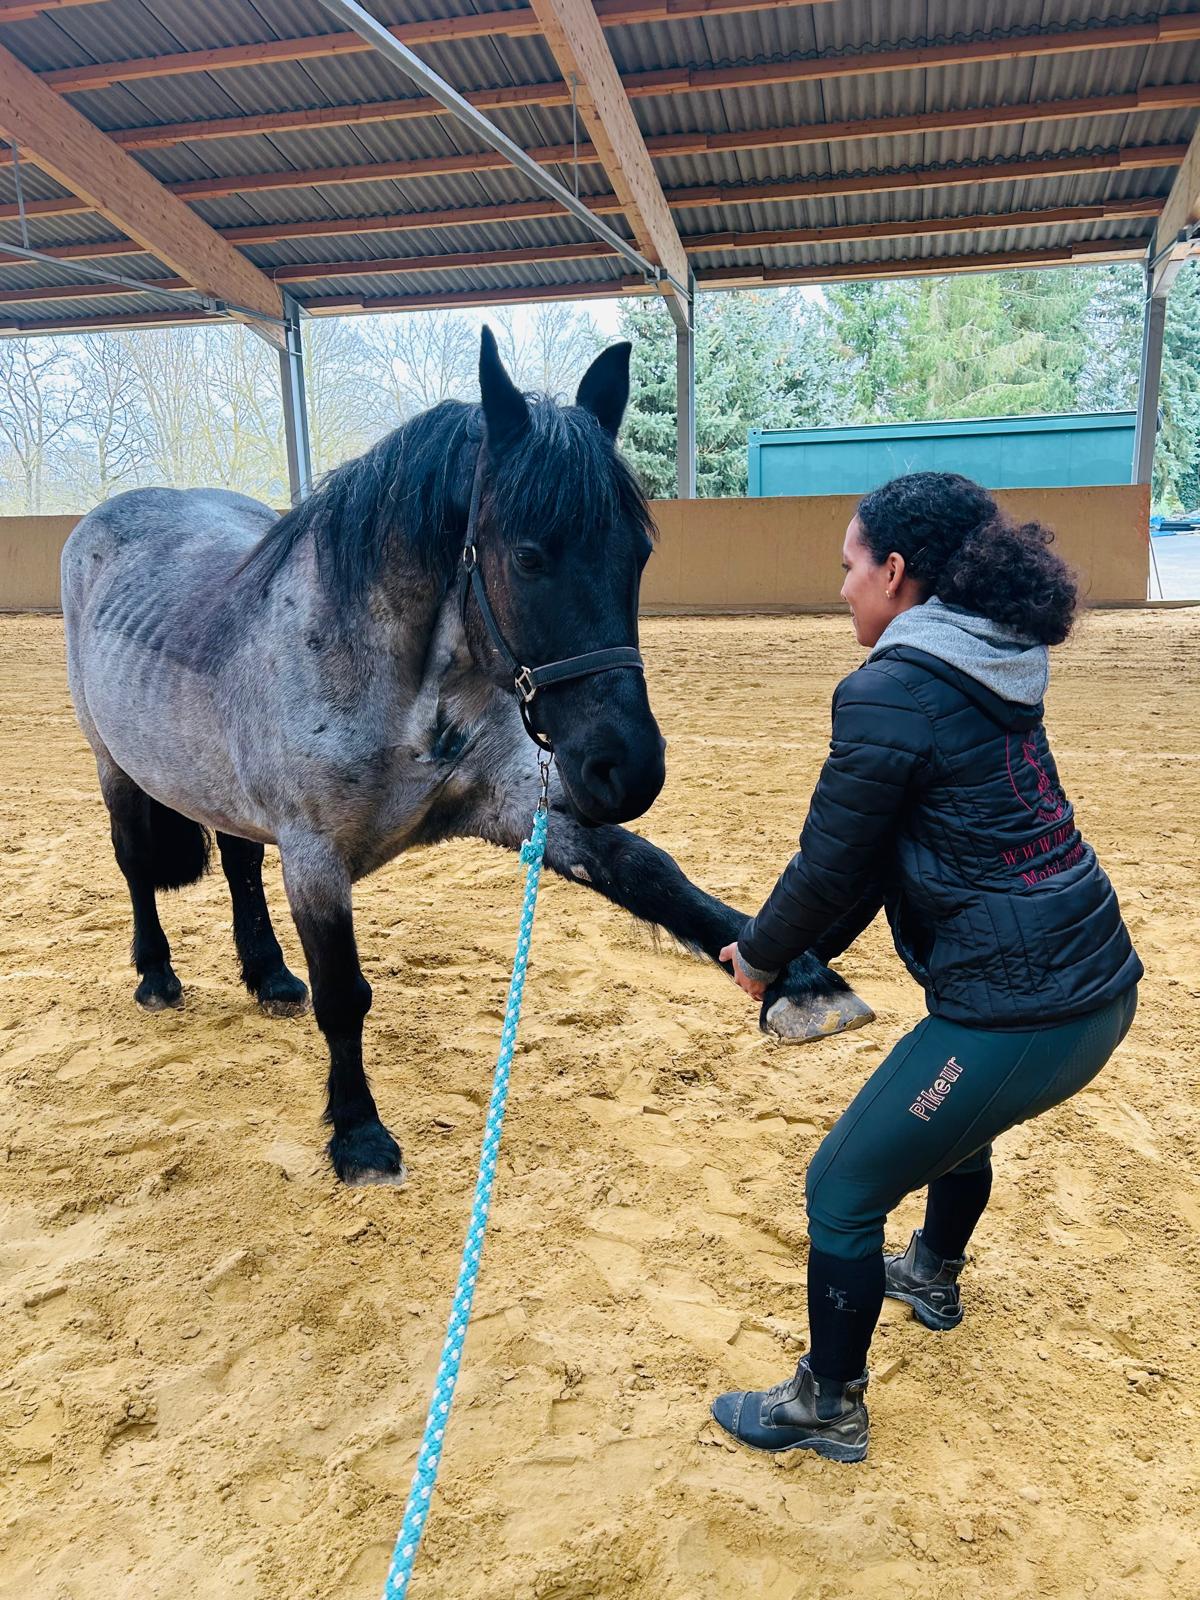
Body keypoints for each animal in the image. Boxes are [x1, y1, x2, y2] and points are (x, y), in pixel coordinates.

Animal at [61, 327, 871, 1187]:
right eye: (528, 557)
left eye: (639, 553)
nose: (629, 769)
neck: (402, 689)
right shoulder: (315, 858)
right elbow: (343, 994)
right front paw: (359, 1135)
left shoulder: (517, 804)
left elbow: (648, 870)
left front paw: (802, 979)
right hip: (115, 766)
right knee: (135, 865)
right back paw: (156, 975)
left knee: (241, 863)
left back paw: (269, 976)